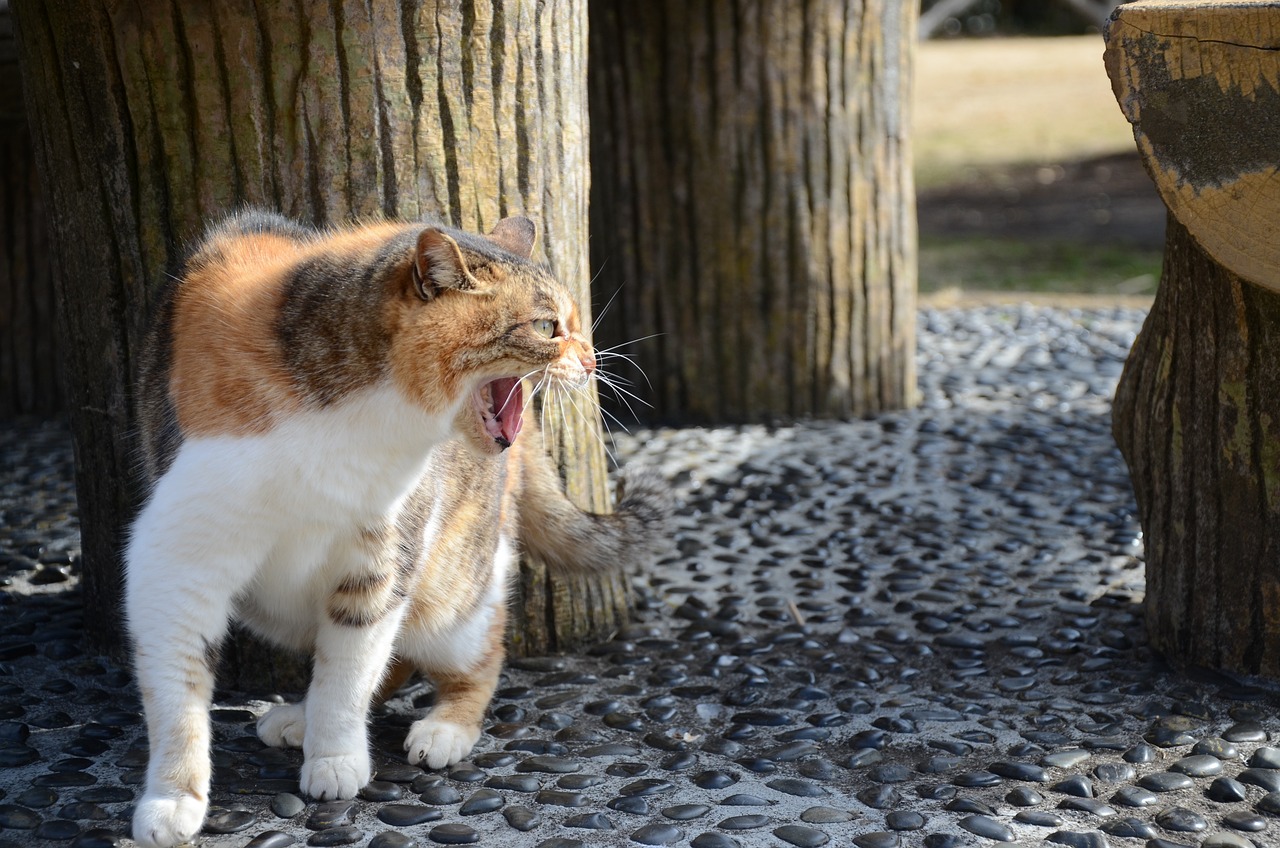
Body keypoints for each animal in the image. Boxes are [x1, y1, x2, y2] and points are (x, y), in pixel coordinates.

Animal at [126, 207, 670, 848]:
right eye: (546, 325)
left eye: (577, 325)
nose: (591, 362)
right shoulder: (178, 562)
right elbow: (177, 692)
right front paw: (172, 798)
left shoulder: (381, 558)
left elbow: (349, 672)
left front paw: (335, 759)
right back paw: (300, 716)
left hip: (453, 590)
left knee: (472, 656)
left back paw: (442, 728)